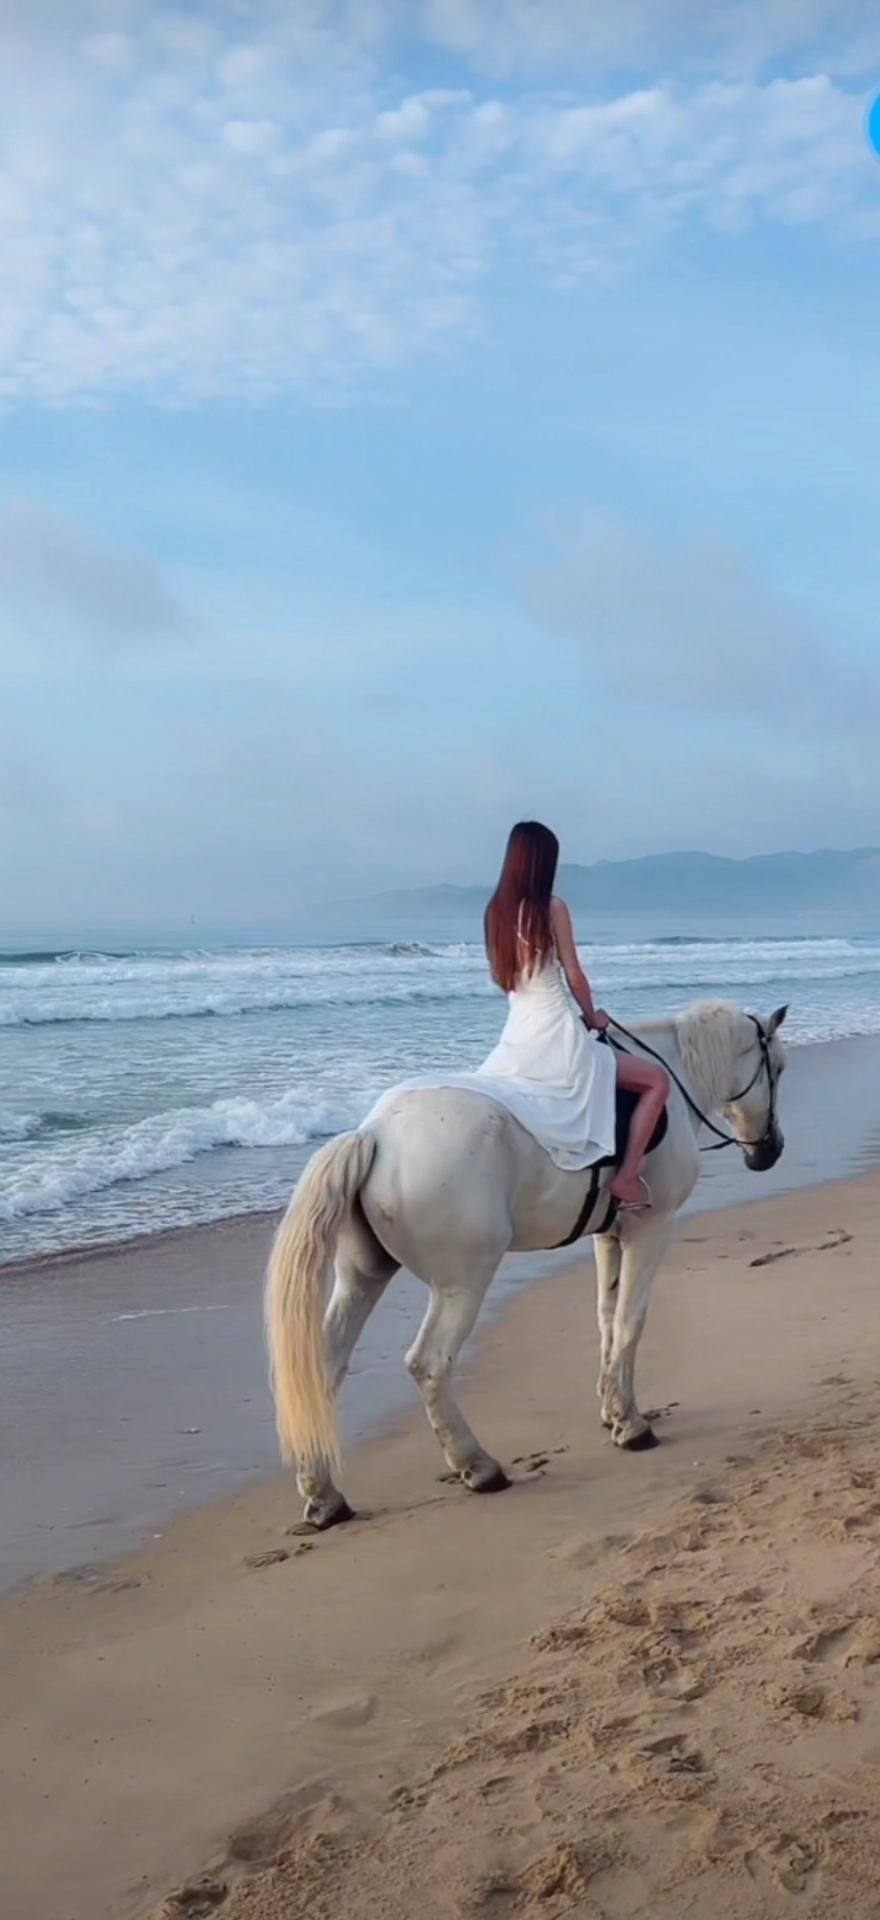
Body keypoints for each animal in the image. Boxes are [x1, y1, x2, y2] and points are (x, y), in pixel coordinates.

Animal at [265, 998, 787, 1531]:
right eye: (778, 1069)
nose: (769, 1151)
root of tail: (375, 1134)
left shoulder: (609, 1236)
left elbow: (606, 1319)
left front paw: (612, 1407)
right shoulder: (651, 1228)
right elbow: (629, 1322)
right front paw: (631, 1425)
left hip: (363, 1276)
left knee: (324, 1366)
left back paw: (325, 1495)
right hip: (461, 1282)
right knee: (429, 1363)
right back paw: (478, 1466)